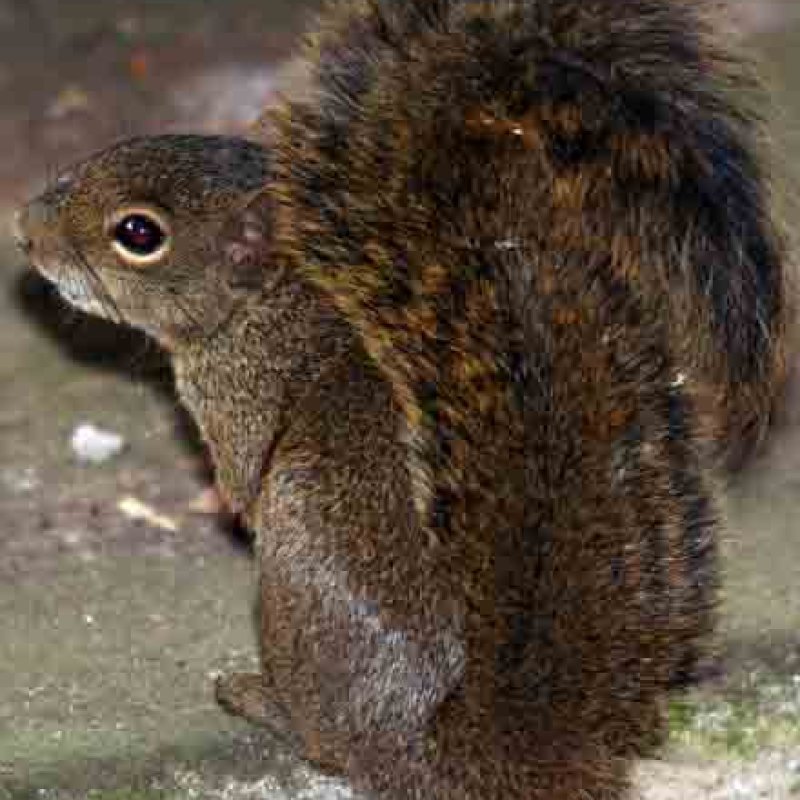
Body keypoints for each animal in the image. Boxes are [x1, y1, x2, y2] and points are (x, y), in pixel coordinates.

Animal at [15, 0, 789, 798]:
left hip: (302, 552)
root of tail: (452, 750)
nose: (26, 229)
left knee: (330, 745)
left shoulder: (241, 399)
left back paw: (262, 700)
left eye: (138, 233)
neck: (269, 298)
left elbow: (239, 485)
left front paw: (209, 503)